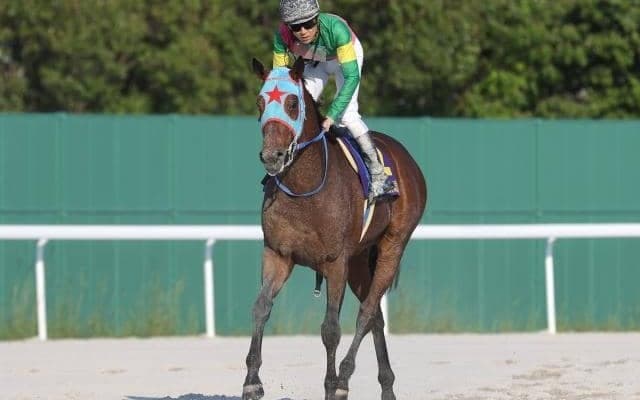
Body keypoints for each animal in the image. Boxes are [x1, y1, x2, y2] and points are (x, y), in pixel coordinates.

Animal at [242, 56, 427, 400]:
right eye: (260, 102)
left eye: (291, 103)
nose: (271, 156)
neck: (305, 187)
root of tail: (406, 157)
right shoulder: (277, 253)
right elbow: (261, 307)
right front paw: (252, 382)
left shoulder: (335, 262)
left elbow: (330, 328)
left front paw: (331, 385)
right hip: (359, 260)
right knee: (376, 316)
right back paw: (386, 386)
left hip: (391, 246)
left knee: (366, 312)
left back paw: (343, 380)